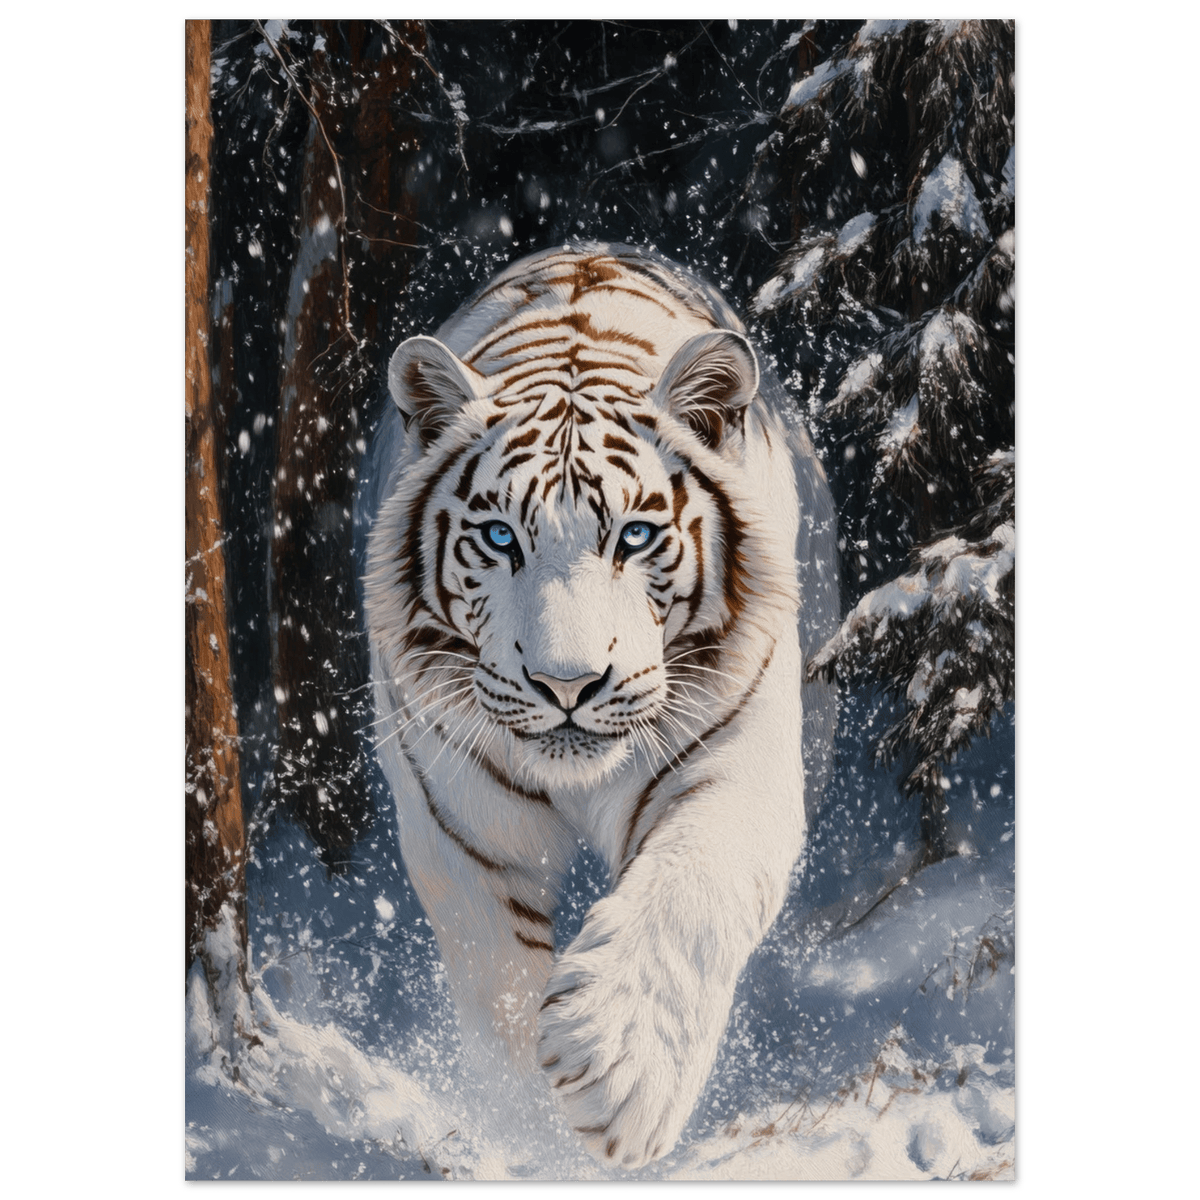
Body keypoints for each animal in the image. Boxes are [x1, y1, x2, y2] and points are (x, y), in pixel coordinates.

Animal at [362, 243, 839, 1170]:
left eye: (636, 536)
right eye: (500, 538)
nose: (567, 685)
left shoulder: (737, 766)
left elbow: (692, 895)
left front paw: (618, 1071)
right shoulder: (460, 825)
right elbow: (497, 986)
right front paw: (535, 1134)